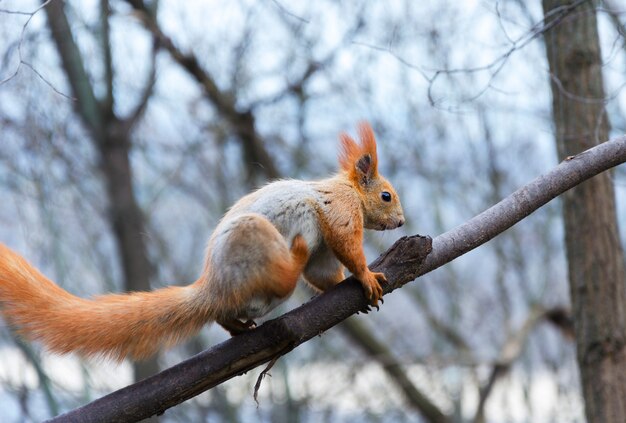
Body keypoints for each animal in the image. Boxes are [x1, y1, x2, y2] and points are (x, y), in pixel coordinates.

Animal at [0, 121, 404, 362]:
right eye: (386, 196)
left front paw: (344, 285)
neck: (346, 189)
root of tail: (213, 287)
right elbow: (347, 247)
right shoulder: (341, 212)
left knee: (229, 314)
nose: (402, 221)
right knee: (283, 277)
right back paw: (294, 256)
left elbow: (323, 273)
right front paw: (366, 277)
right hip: (257, 243)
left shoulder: (325, 249)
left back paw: (238, 326)